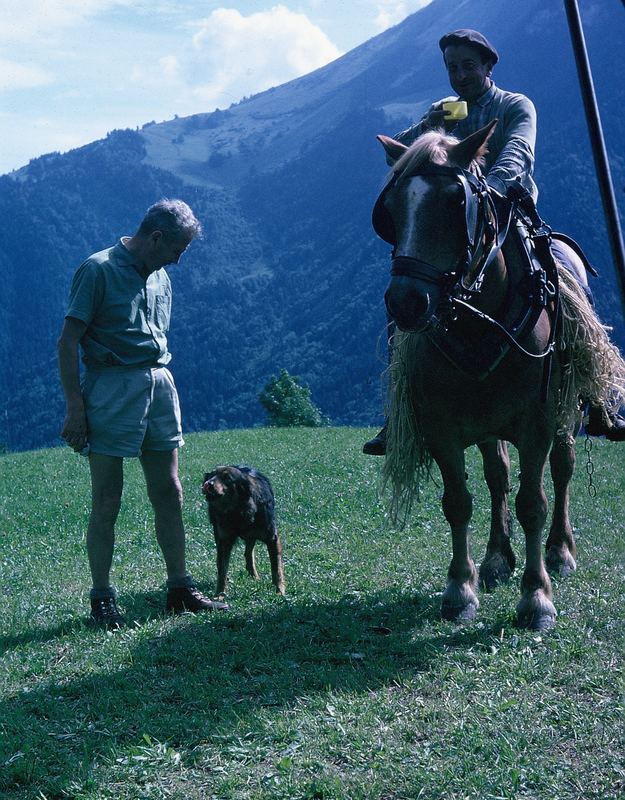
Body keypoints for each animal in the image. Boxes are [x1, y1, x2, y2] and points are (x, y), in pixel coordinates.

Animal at [201, 462, 284, 592]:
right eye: (211, 475)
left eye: (227, 478)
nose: (208, 483)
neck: (237, 511)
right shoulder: (224, 541)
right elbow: (222, 570)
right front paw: (219, 593)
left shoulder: (272, 539)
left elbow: (276, 569)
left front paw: (279, 591)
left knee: (248, 554)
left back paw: (255, 576)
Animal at [372, 120, 620, 632]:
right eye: (392, 208)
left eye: (455, 202)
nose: (406, 302)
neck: (478, 320)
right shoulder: (443, 429)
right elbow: (459, 501)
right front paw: (459, 588)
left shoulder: (537, 424)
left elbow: (533, 503)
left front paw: (536, 597)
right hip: (487, 425)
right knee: (497, 477)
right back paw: (495, 559)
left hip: (565, 414)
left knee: (562, 470)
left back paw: (560, 552)